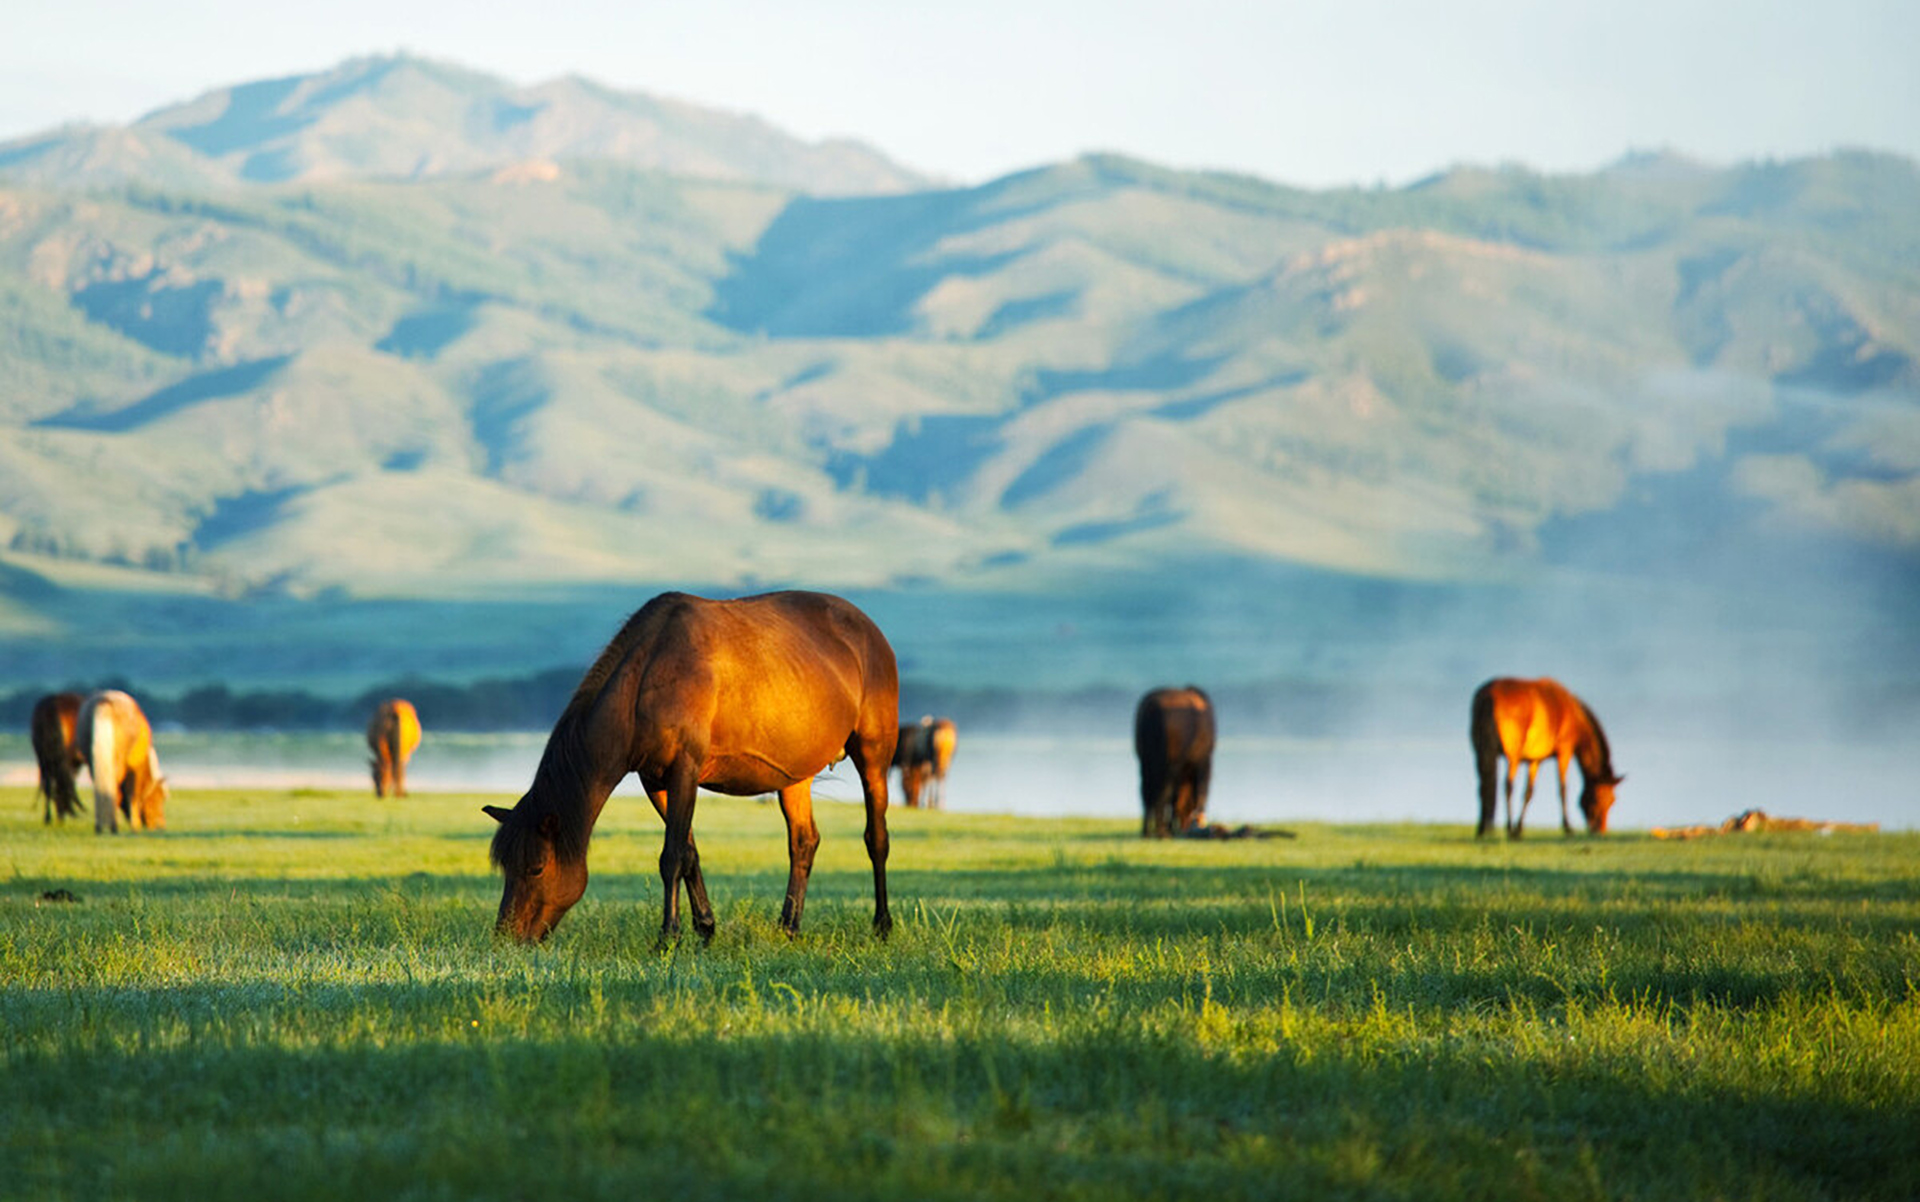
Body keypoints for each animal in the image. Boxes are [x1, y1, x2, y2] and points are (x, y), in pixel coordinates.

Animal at [74, 687, 168, 829]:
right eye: (160, 798)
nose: (160, 825)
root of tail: (104, 702)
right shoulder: (135, 769)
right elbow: (132, 795)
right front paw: (135, 825)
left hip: (93, 761)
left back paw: (100, 825)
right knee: (115, 789)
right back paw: (113, 825)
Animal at [483, 591, 894, 944]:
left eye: (536, 868)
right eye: (506, 867)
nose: (506, 936)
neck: (644, 677)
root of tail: (868, 629)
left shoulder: (686, 770)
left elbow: (672, 857)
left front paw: (669, 935)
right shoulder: (656, 781)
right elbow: (689, 854)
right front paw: (705, 927)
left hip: (873, 755)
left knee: (876, 838)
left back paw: (881, 924)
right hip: (795, 774)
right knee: (803, 842)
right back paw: (788, 926)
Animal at [1128, 683, 1221, 833]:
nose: (1186, 826)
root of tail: (1152, 708)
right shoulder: (1202, 761)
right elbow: (1196, 793)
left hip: (1145, 762)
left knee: (1146, 792)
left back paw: (1148, 830)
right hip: (1170, 764)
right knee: (1164, 793)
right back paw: (1162, 830)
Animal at [1466, 679, 1620, 837]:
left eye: (1613, 801)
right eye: (1599, 799)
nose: (1600, 831)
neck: (1574, 715)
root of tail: (1488, 697)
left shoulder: (1535, 760)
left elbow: (1529, 792)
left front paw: (1519, 829)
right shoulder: (1564, 752)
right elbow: (1563, 788)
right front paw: (1568, 828)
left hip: (1482, 754)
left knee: (1484, 787)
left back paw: (1483, 829)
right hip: (1512, 757)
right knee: (1507, 786)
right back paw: (1507, 828)